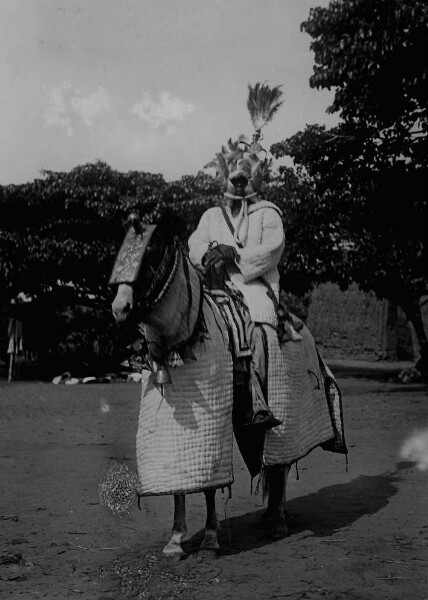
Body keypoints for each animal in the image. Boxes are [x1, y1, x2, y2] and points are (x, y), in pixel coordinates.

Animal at [110, 213, 348, 560]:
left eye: (151, 253)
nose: (120, 308)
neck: (186, 334)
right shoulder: (177, 435)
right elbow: (179, 488)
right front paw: (176, 540)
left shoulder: (213, 425)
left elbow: (210, 486)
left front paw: (210, 539)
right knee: (272, 464)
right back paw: (270, 515)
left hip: (287, 415)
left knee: (281, 464)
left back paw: (278, 520)